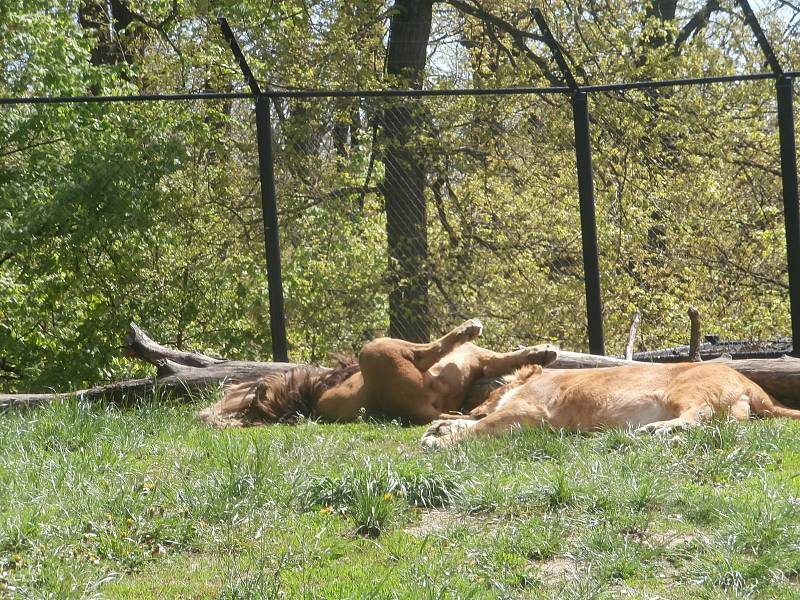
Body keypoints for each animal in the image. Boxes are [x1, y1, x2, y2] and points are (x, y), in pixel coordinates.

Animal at [198, 318, 560, 426]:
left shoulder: (481, 359)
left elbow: (505, 358)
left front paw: (540, 352)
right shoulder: (478, 358)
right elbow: (501, 358)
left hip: (375, 352)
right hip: (375, 347)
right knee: (429, 351)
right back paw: (468, 328)